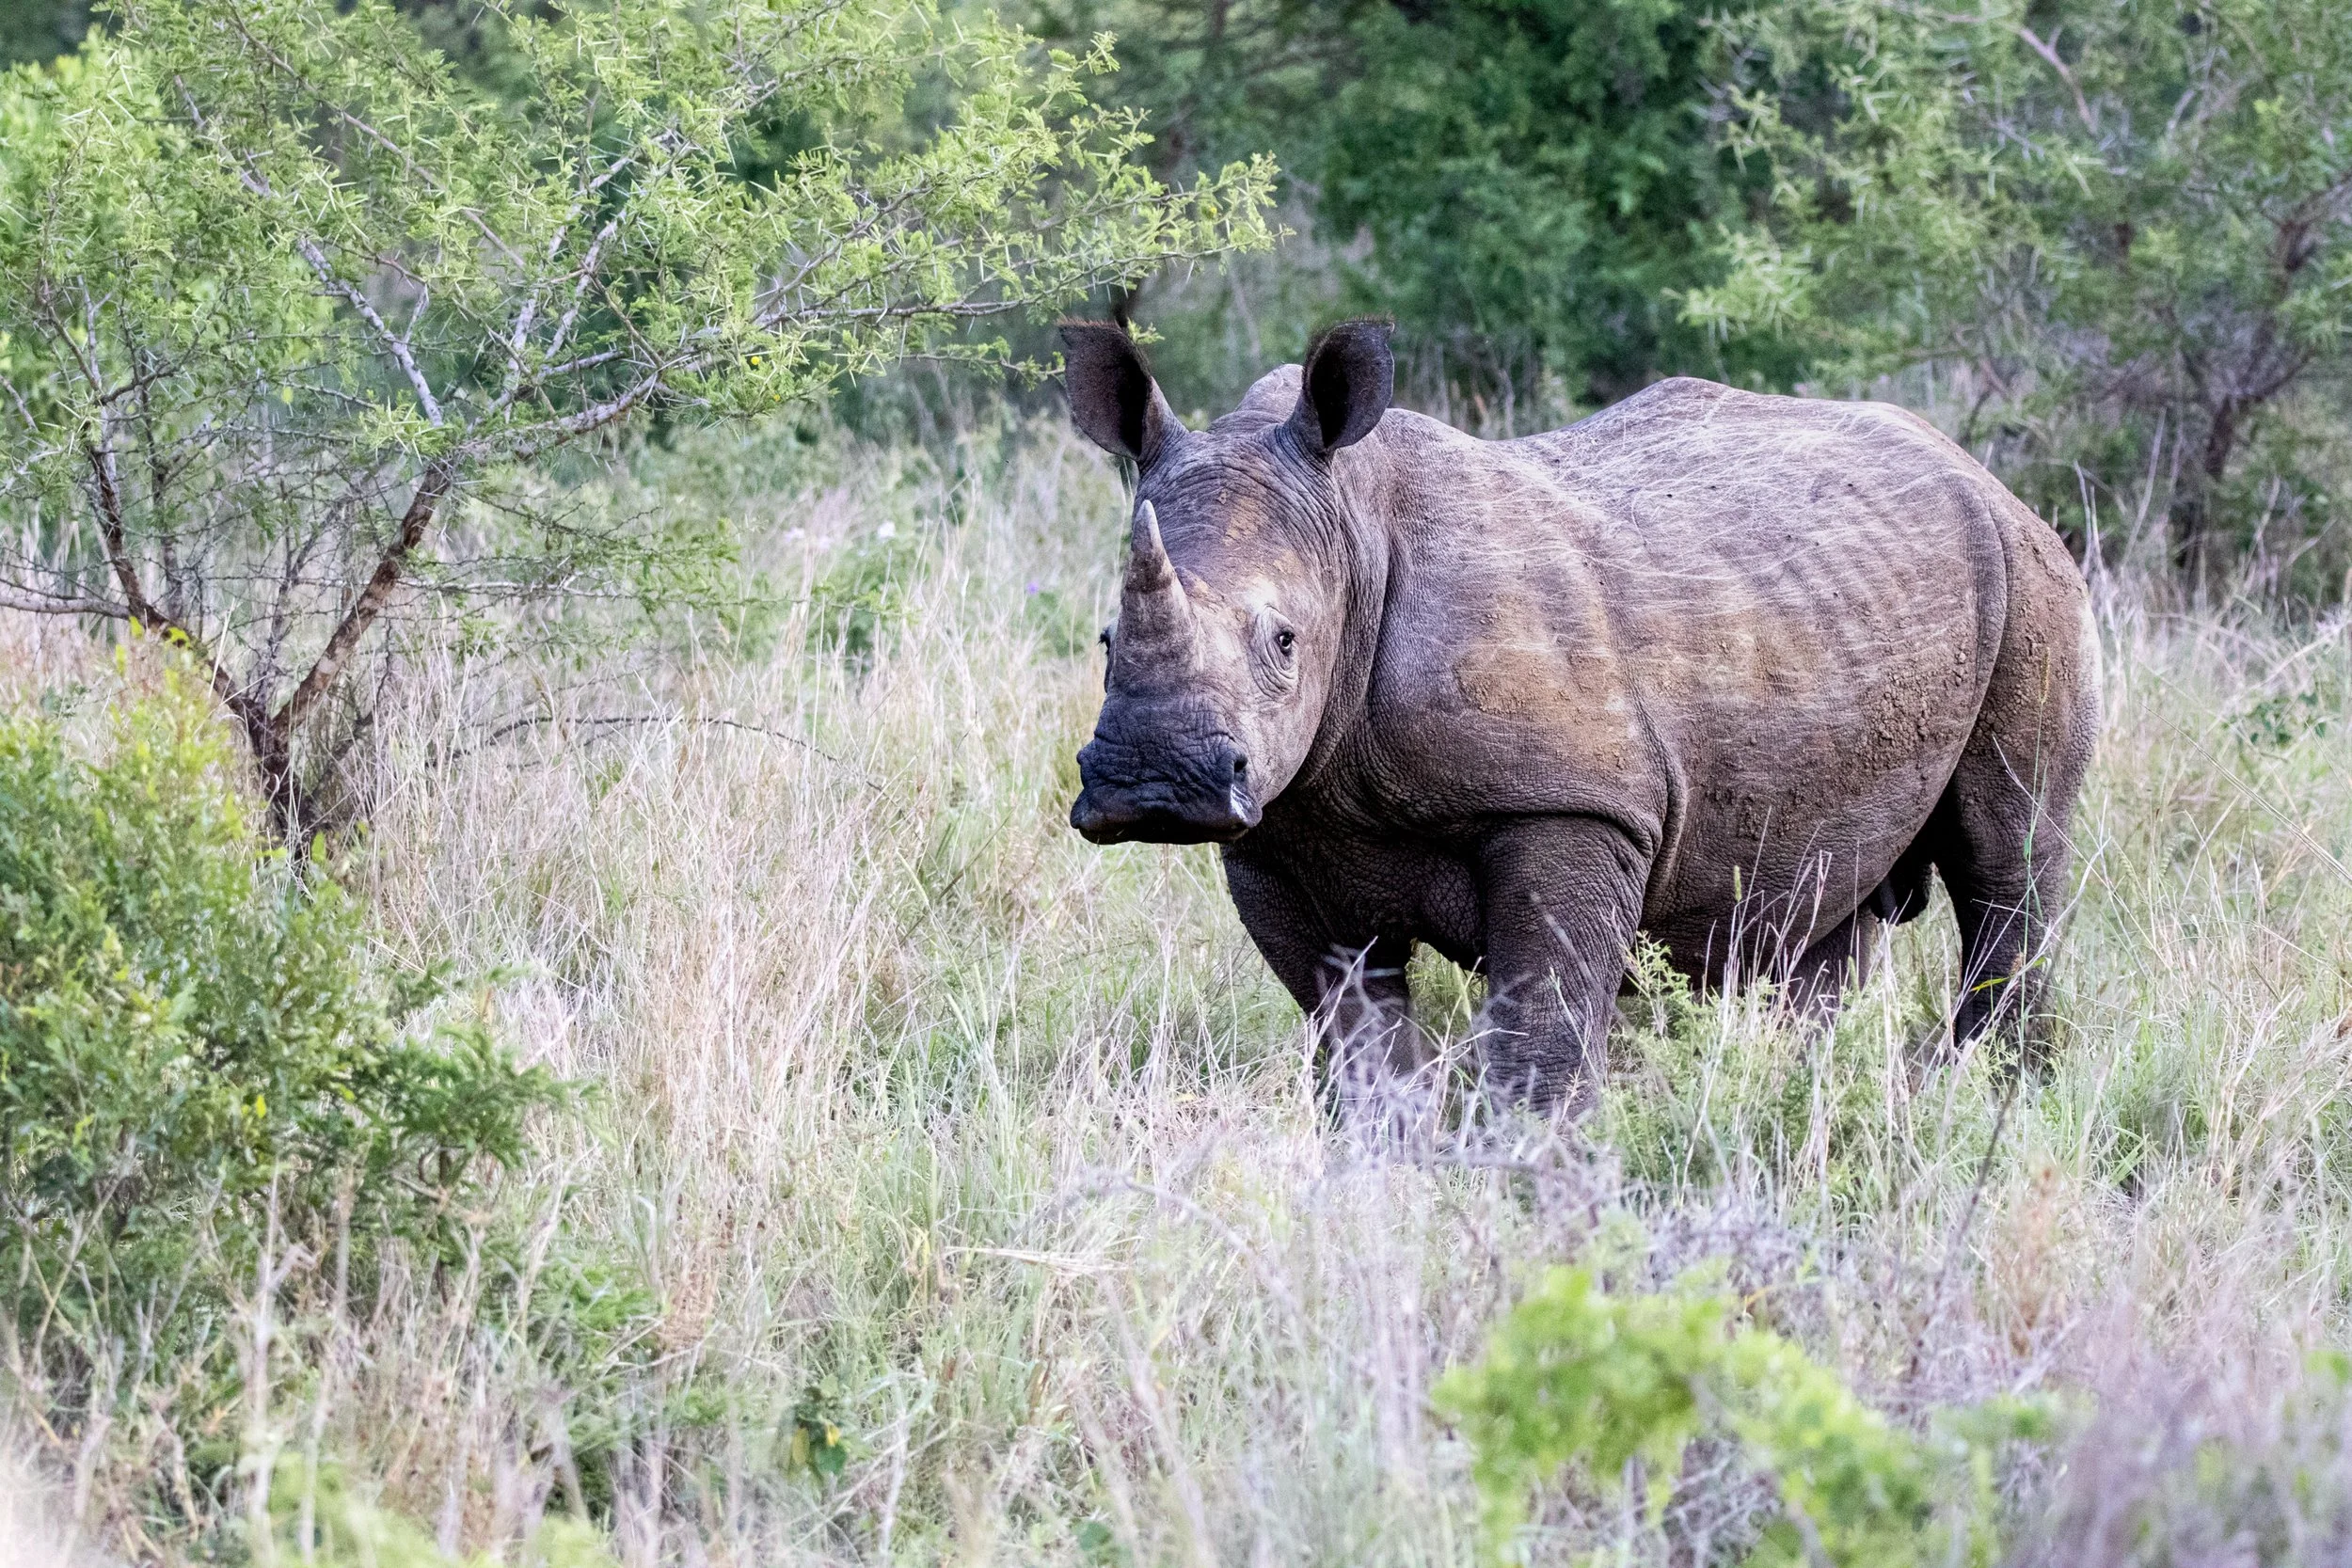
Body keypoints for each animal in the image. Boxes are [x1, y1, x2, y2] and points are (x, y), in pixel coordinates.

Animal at [1061, 319, 2099, 1107]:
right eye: (1105, 639)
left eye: (1283, 640)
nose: (1154, 785)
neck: (1353, 528)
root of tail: (1978, 472)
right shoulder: (1279, 834)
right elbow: (1354, 1035)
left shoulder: (1571, 801)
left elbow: (1543, 1028)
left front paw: (1530, 1178)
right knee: (1819, 912)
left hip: (2031, 582)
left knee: (2007, 859)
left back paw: (2001, 1101)